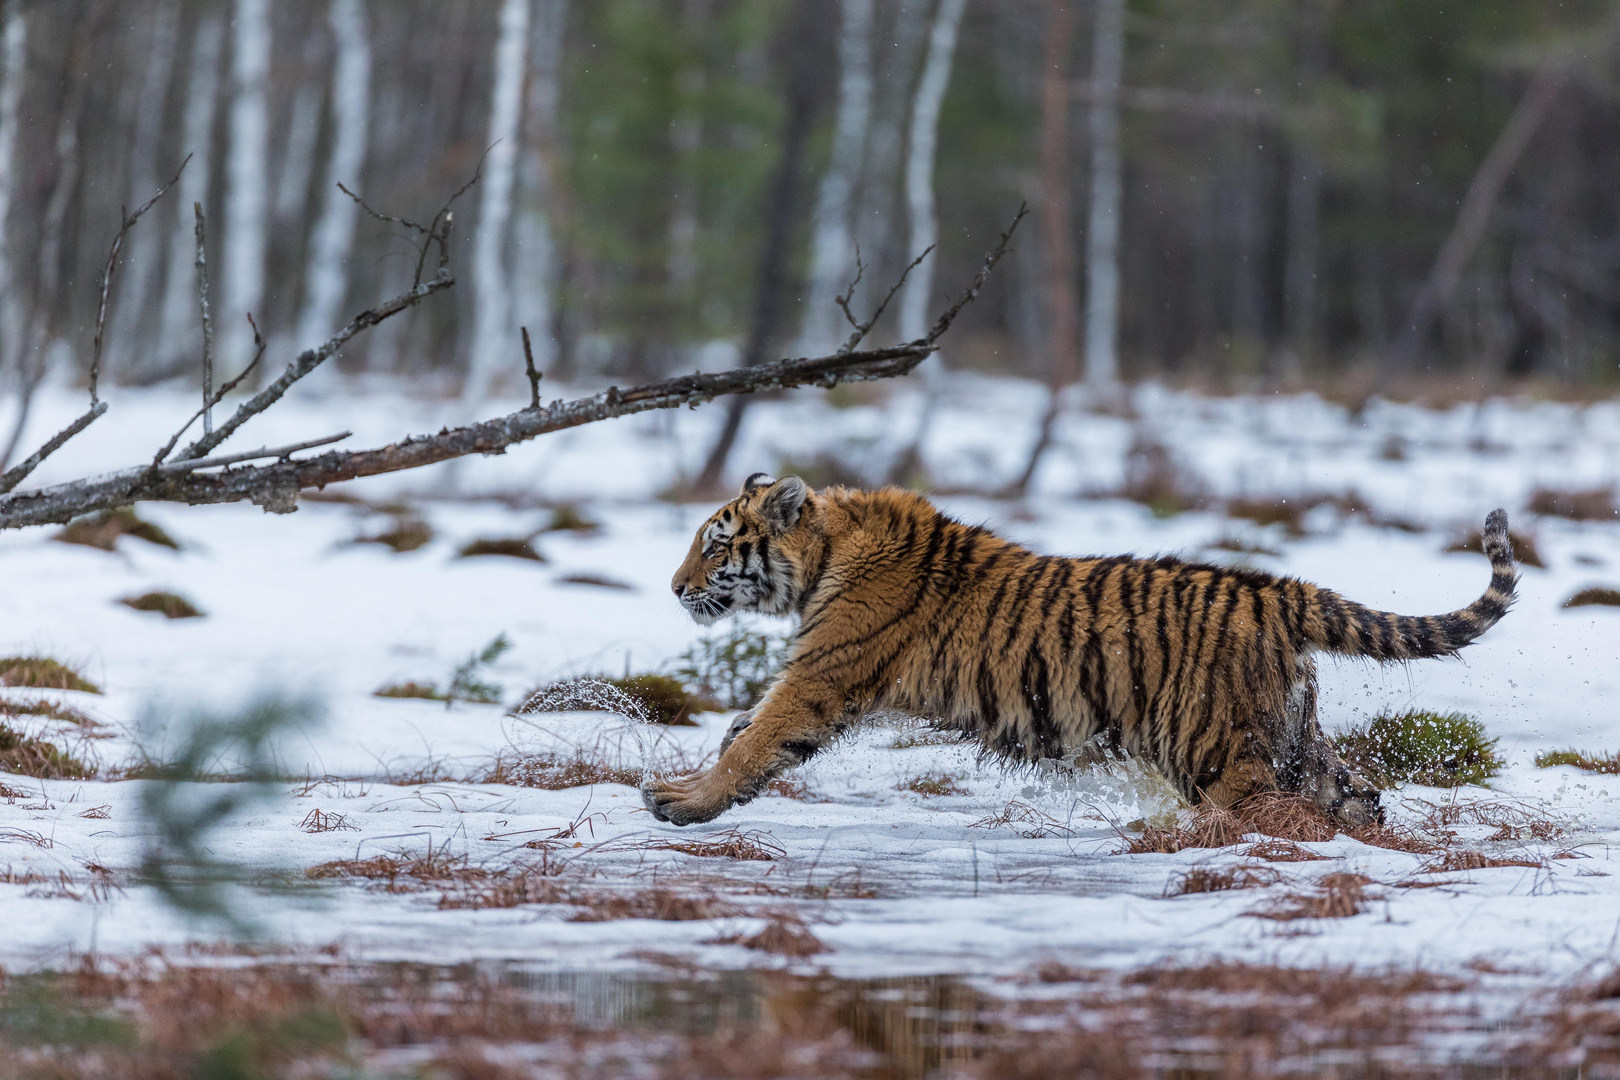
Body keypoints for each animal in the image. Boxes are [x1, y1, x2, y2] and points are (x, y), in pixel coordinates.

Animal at [644, 472, 1516, 829]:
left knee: (1278, 819)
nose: (674, 588)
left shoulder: (822, 677)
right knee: (1358, 798)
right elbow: (742, 732)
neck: (828, 551)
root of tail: (1274, 589)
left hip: (1214, 748)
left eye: (715, 545)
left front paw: (683, 803)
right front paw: (691, 782)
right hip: (1298, 739)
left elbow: (755, 739)